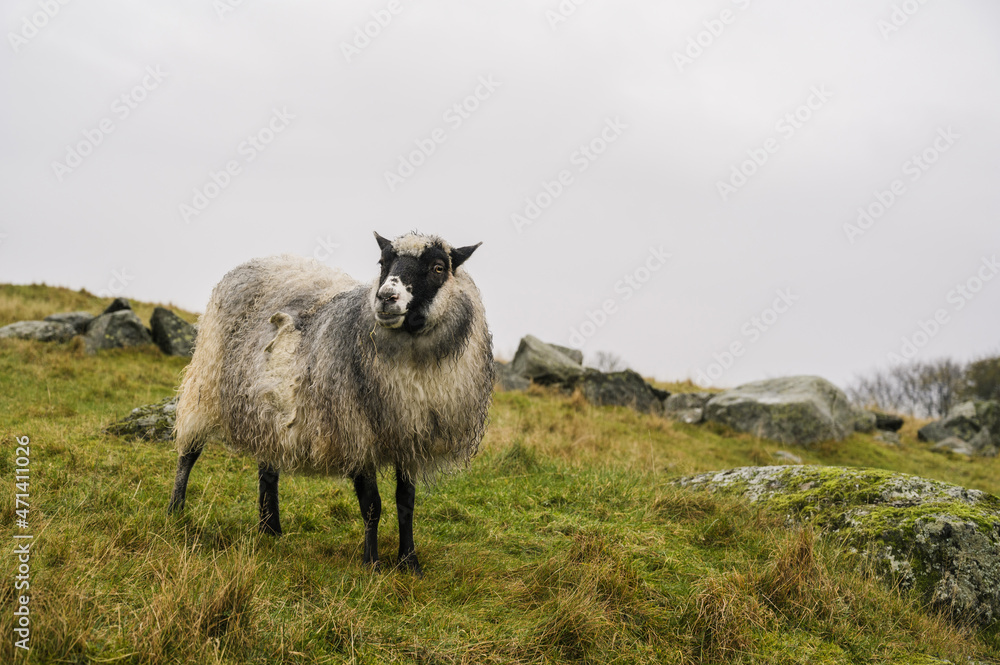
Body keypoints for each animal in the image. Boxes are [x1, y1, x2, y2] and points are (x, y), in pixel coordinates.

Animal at [168, 231, 495, 574]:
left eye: (438, 268)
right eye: (383, 262)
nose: (386, 297)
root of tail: (260, 260)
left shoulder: (409, 438)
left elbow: (406, 502)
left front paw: (410, 563)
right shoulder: (356, 433)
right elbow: (372, 505)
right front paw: (371, 564)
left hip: (268, 406)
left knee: (268, 468)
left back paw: (270, 529)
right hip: (206, 380)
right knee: (189, 450)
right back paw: (176, 510)